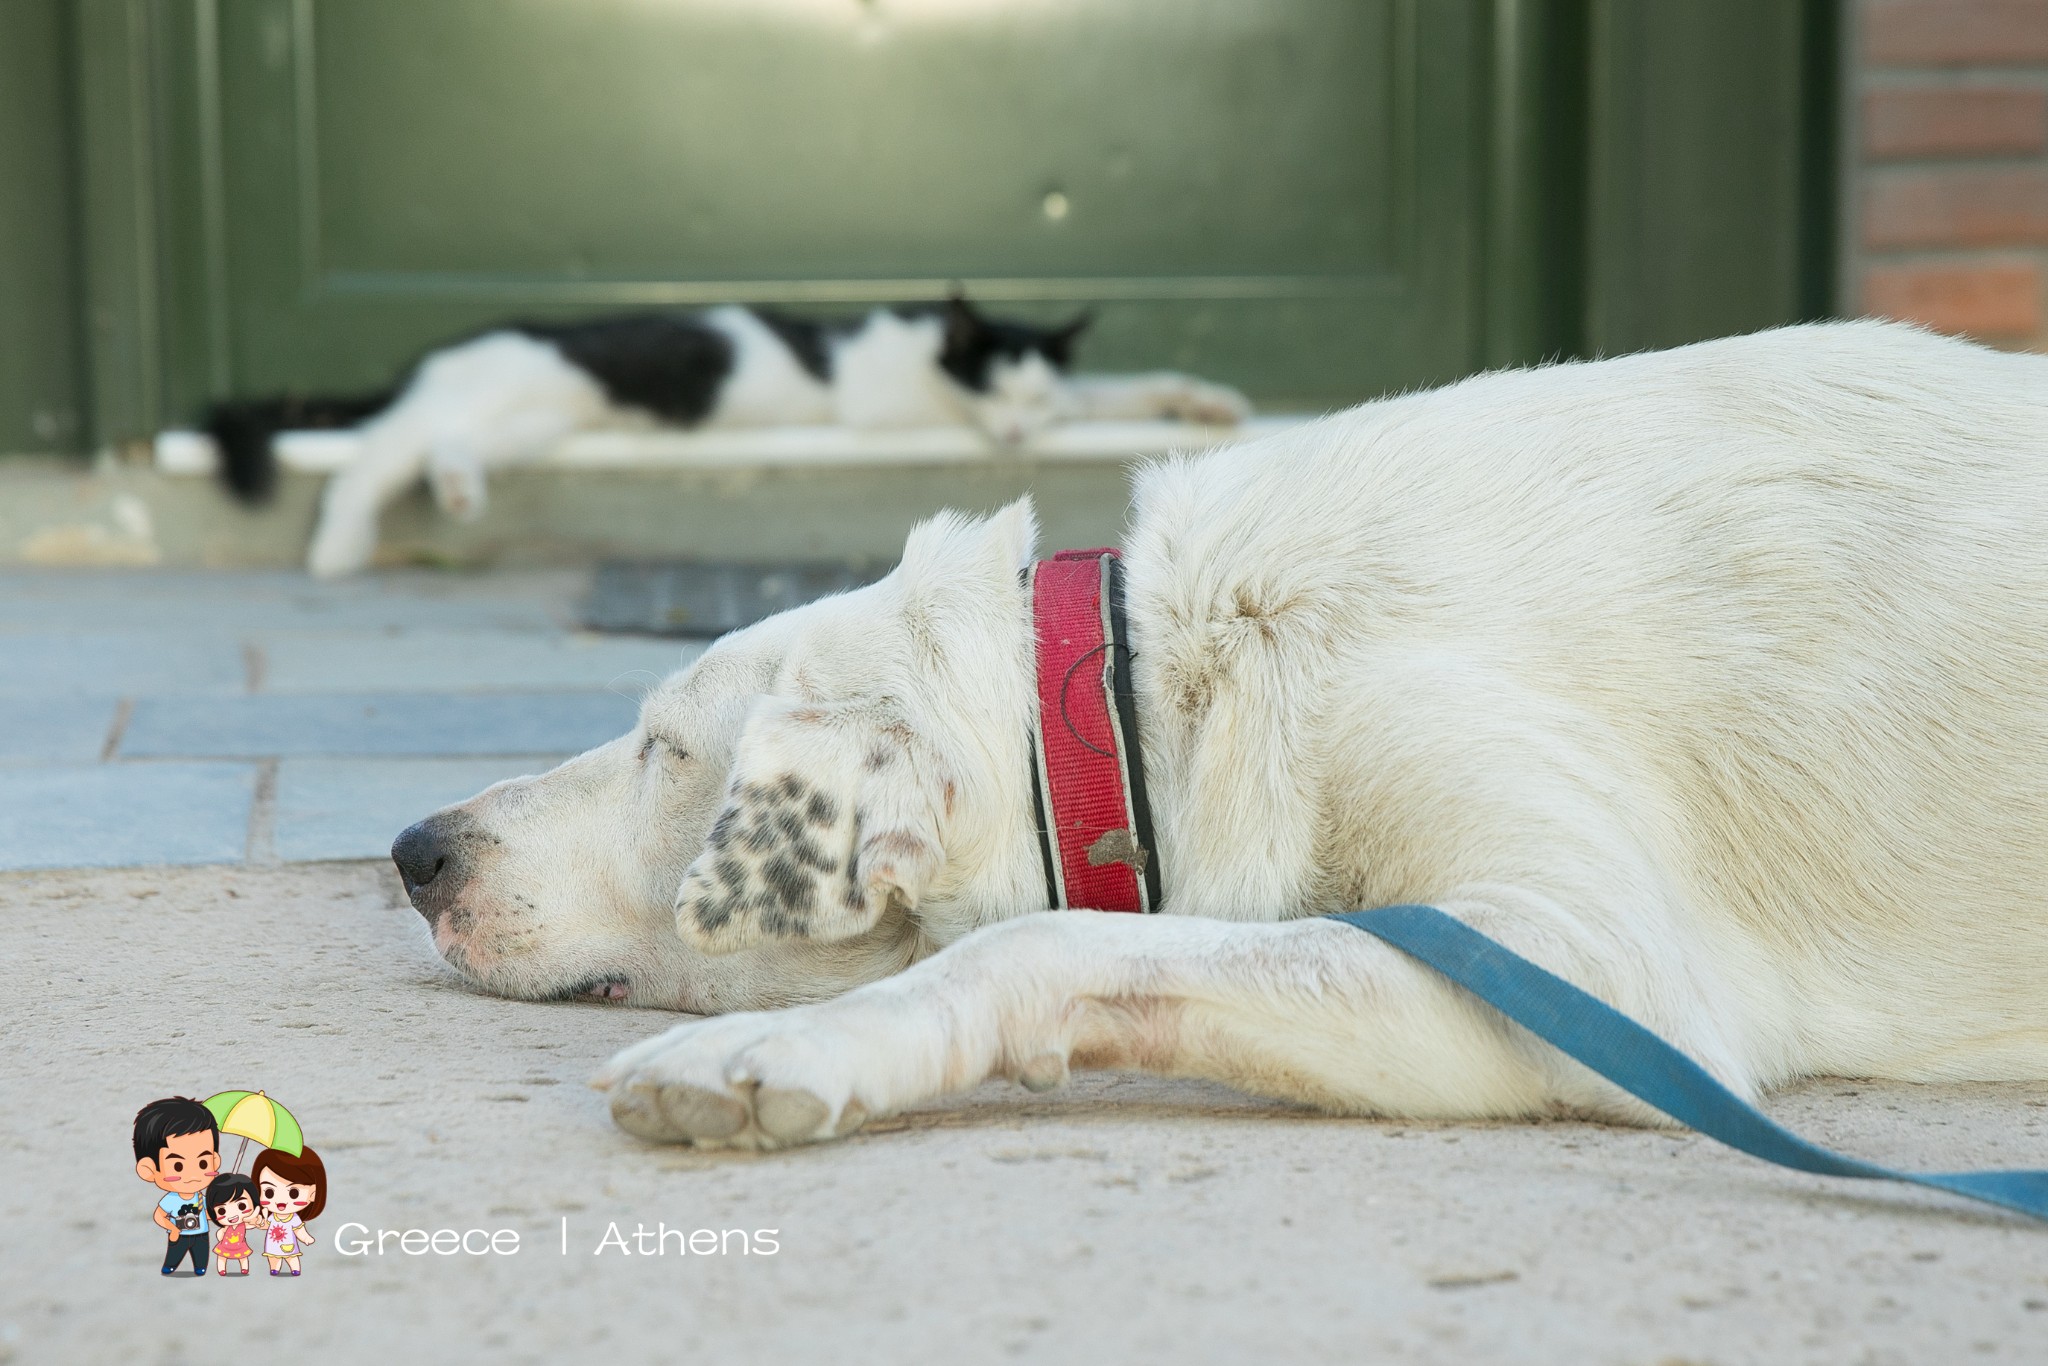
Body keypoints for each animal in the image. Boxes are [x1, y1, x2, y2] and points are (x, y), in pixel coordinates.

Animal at [216, 294, 1253, 577]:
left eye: (1030, 399)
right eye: (996, 390)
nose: (1017, 434)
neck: (923, 346)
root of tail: (436, 355)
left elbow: (1101, 390)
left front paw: (1201, 399)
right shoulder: (881, 407)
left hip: (527, 424)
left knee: (443, 453)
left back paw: (462, 491)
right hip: (467, 404)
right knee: (371, 460)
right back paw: (339, 545)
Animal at [387, 325, 2048, 1146]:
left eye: (667, 750)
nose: (416, 849)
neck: (1150, 675)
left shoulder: (1594, 962)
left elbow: (1041, 940)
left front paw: (783, 1050)